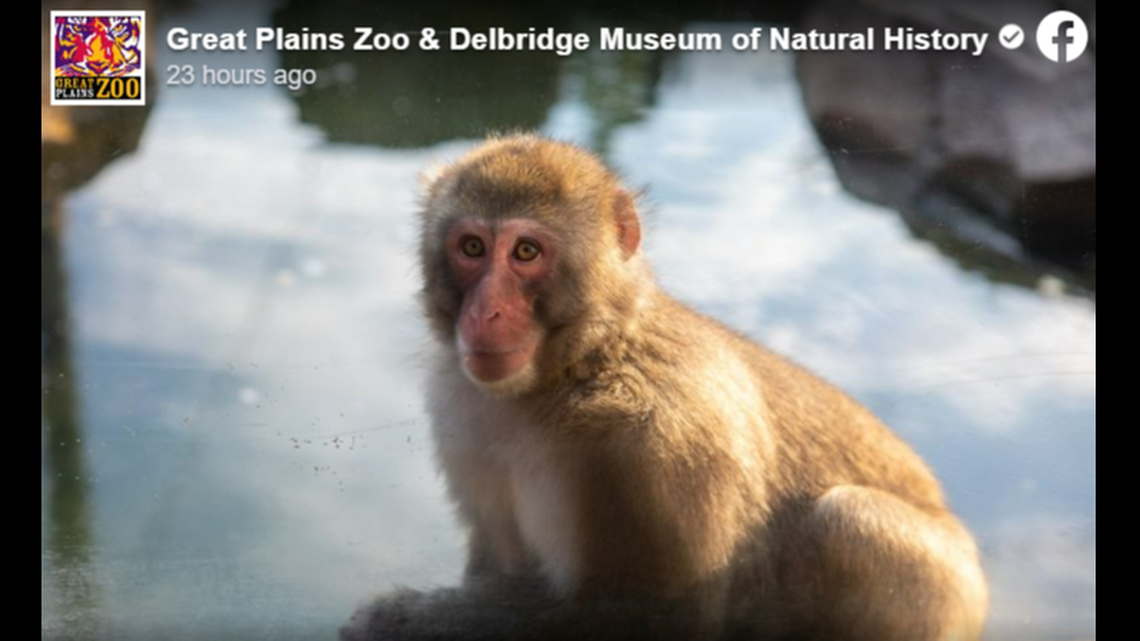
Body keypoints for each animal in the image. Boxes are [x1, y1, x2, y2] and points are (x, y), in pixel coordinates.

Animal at [342, 134, 988, 641]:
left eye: (525, 252)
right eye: (472, 248)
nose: (485, 313)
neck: (578, 366)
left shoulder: (655, 446)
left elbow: (659, 616)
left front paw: (393, 623)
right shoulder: (462, 414)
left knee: (844, 519)